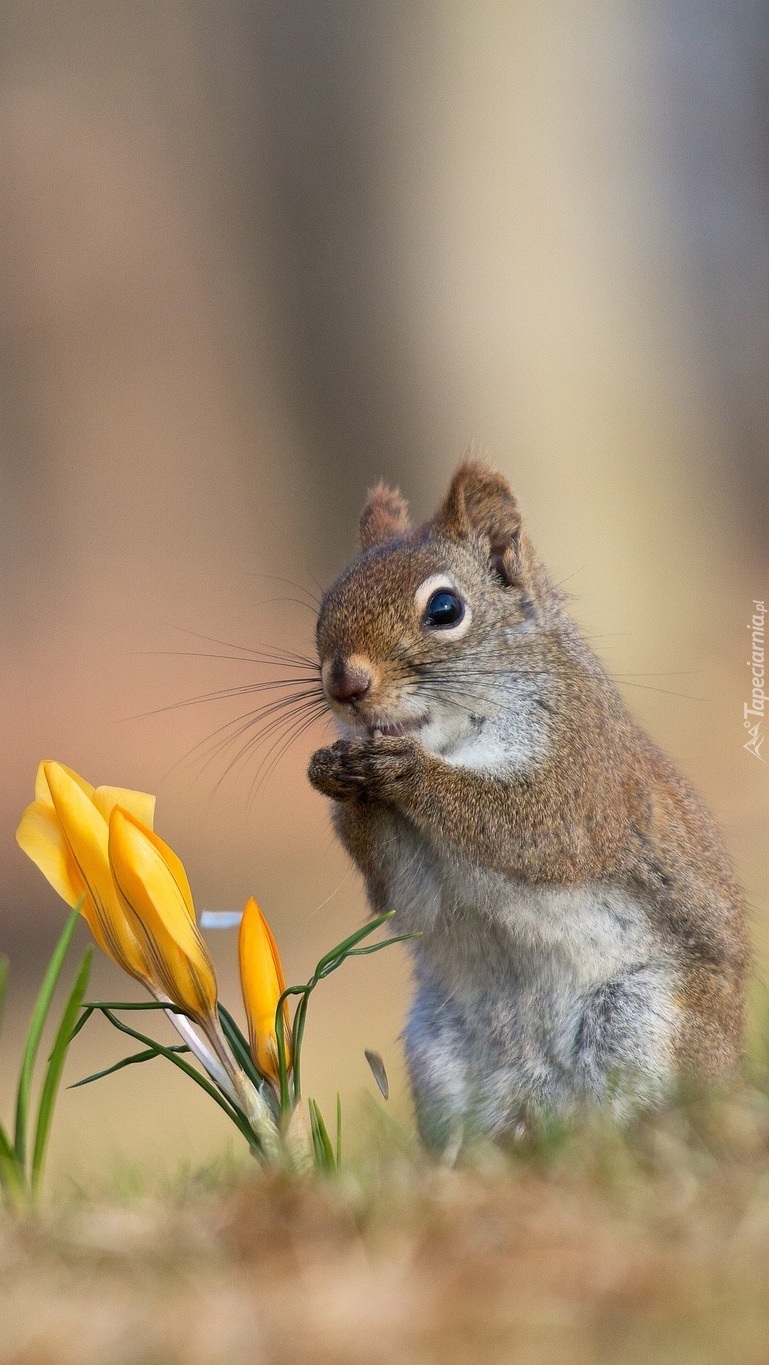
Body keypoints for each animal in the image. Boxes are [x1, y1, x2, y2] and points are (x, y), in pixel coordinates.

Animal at [305, 458, 748, 1141]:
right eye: (326, 605)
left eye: (444, 609)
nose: (345, 684)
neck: (454, 737)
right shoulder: (415, 879)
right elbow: (406, 892)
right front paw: (336, 773)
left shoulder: (583, 773)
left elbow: (533, 831)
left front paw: (410, 773)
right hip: (440, 1058)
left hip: (647, 1025)